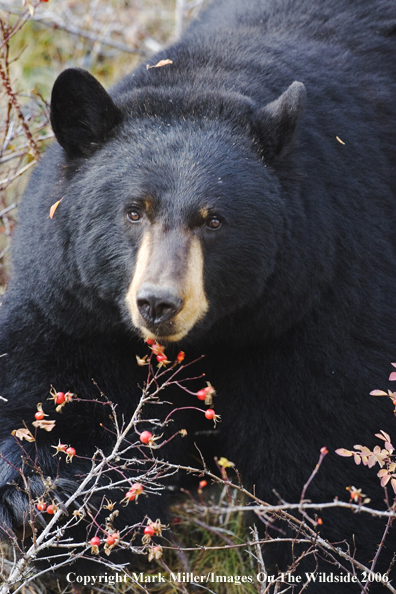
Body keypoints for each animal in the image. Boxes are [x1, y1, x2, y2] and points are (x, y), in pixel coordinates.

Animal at [0, 0, 396, 584]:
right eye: (134, 210)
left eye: (213, 221)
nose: (158, 304)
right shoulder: (76, 308)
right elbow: (54, 397)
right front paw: (41, 494)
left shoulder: (319, 299)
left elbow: (333, 453)